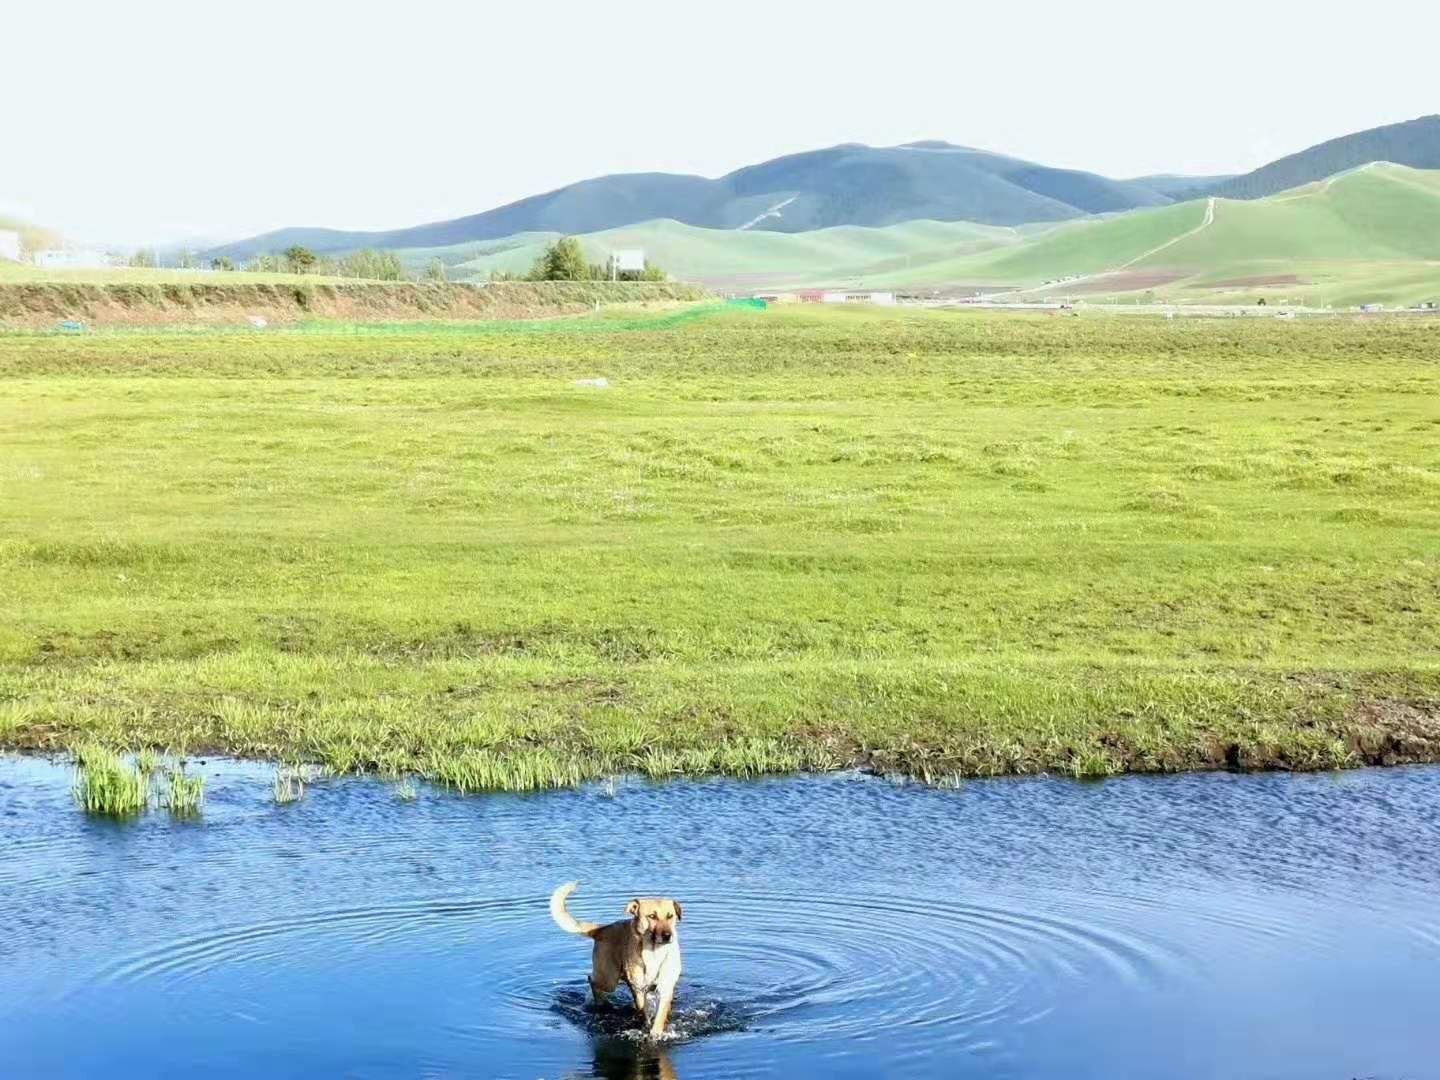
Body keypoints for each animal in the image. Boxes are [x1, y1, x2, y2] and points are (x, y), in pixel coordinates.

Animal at [550, 887, 685, 1042]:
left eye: (670, 916)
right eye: (652, 916)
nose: (668, 935)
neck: (654, 953)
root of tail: (603, 929)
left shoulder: (665, 988)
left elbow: (660, 1014)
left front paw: (656, 1032)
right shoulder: (639, 990)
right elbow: (643, 1011)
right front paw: (646, 1027)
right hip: (609, 979)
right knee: (592, 981)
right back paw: (603, 1003)